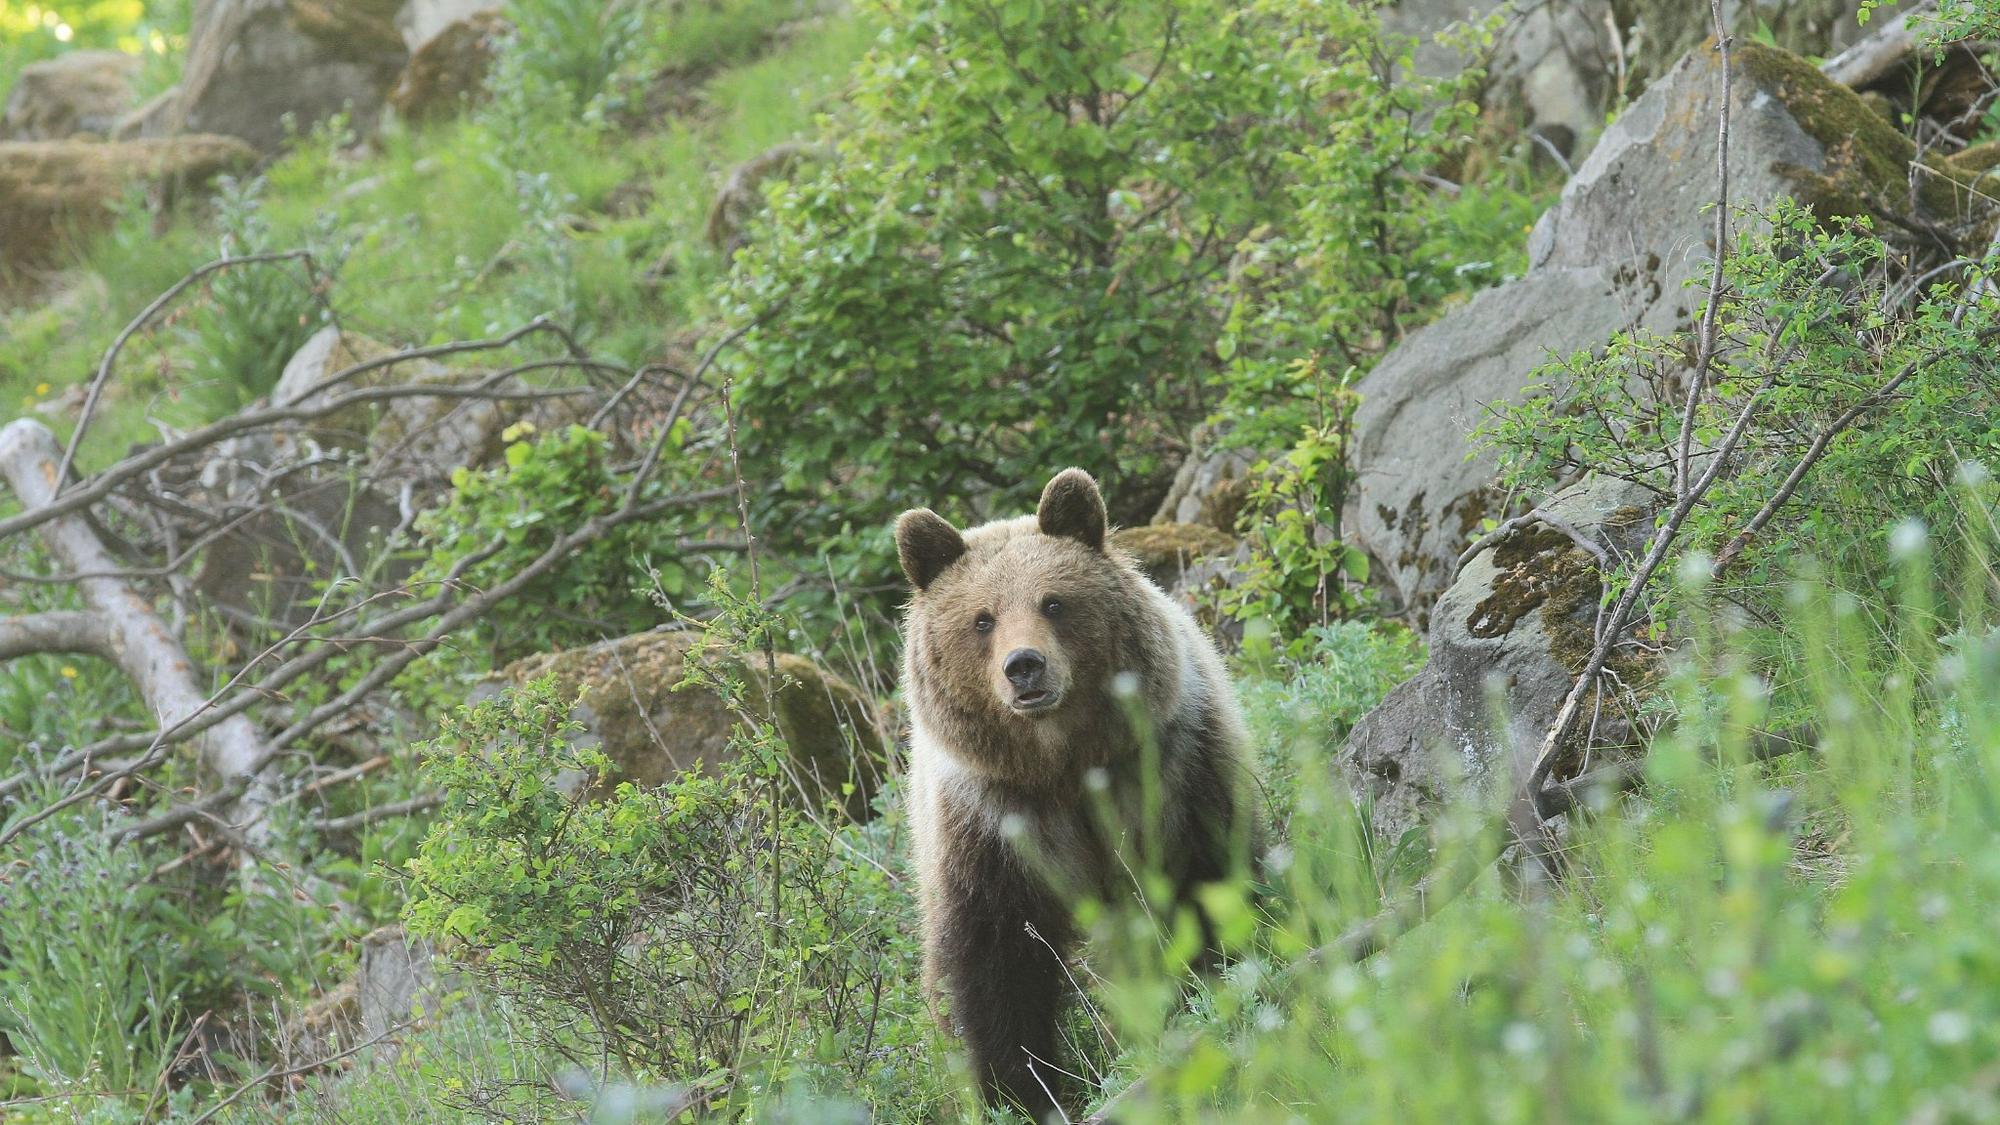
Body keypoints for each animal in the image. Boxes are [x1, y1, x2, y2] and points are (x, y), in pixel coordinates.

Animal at [900, 462, 1256, 1112]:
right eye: (982, 618)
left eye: (1054, 602)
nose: (1024, 666)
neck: (1063, 761)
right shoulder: (990, 822)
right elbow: (996, 958)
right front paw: (1017, 1090)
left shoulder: (1171, 769)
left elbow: (1203, 883)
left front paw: (1210, 985)